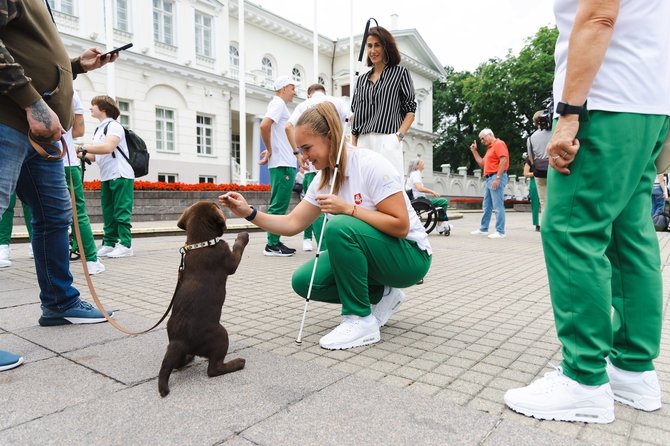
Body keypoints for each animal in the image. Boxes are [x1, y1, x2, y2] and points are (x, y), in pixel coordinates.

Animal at [158, 202, 249, 398]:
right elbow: (238, 247)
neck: (200, 243)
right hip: (221, 335)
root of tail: (179, 341)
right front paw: (242, 235)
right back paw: (237, 363)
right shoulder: (230, 260)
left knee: (177, 363)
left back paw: (188, 358)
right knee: (213, 369)